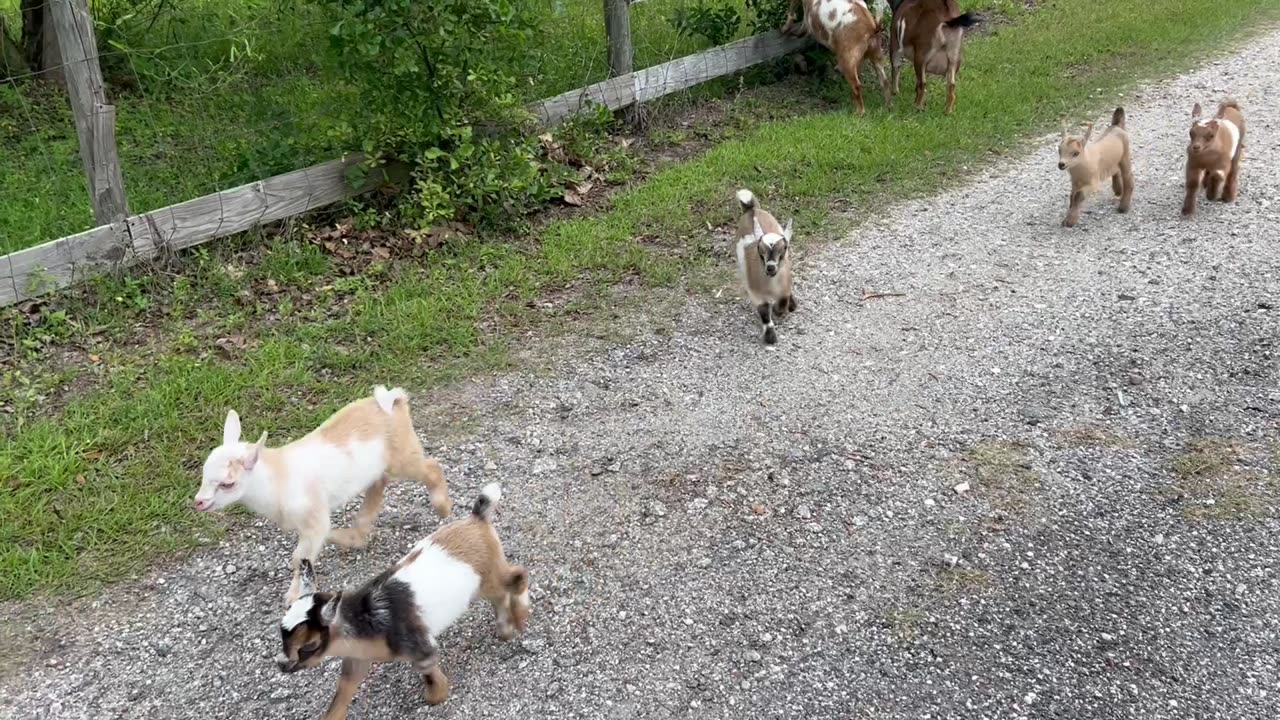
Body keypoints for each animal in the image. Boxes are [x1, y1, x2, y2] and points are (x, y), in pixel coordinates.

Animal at [194, 384, 455, 602]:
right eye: (204, 474)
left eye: (227, 483)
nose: (199, 502)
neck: (278, 478)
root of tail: (392, 400)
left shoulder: (313, 519)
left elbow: (299, 557)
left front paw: (293, 596)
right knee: (377, 488)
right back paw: (350, 537)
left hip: (402, 456)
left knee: (431, 467)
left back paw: (442, 507)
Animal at [276, 481, 529, 717]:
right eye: (281, 634)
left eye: (309, 645)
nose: (281, 664)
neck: (367, 617)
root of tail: (477, 518)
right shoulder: (357, 657)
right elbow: (344, 689)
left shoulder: (419, 647)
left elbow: (428, 672)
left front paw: (436, 696)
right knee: (501, 595)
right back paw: (505, 629)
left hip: (488, 575)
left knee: (517, 577)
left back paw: (520, 617)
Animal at [737, 188, 793, 345]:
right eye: (759, 250)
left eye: (783, 249)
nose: (770, 268)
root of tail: (752, 209)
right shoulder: (756, 293)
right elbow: (764, 313)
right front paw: (770, 337)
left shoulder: (784, 286)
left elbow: (783, 301)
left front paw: (780, 310)